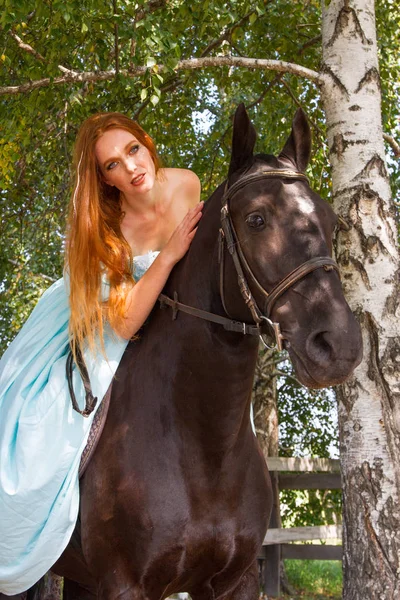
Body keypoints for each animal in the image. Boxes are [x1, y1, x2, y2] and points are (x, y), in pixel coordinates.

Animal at [50, 105, 362, 596]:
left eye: (332, 220)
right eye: (256, 219)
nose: (340, 345)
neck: (205, 454)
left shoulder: (235, 581)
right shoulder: (125, 585)